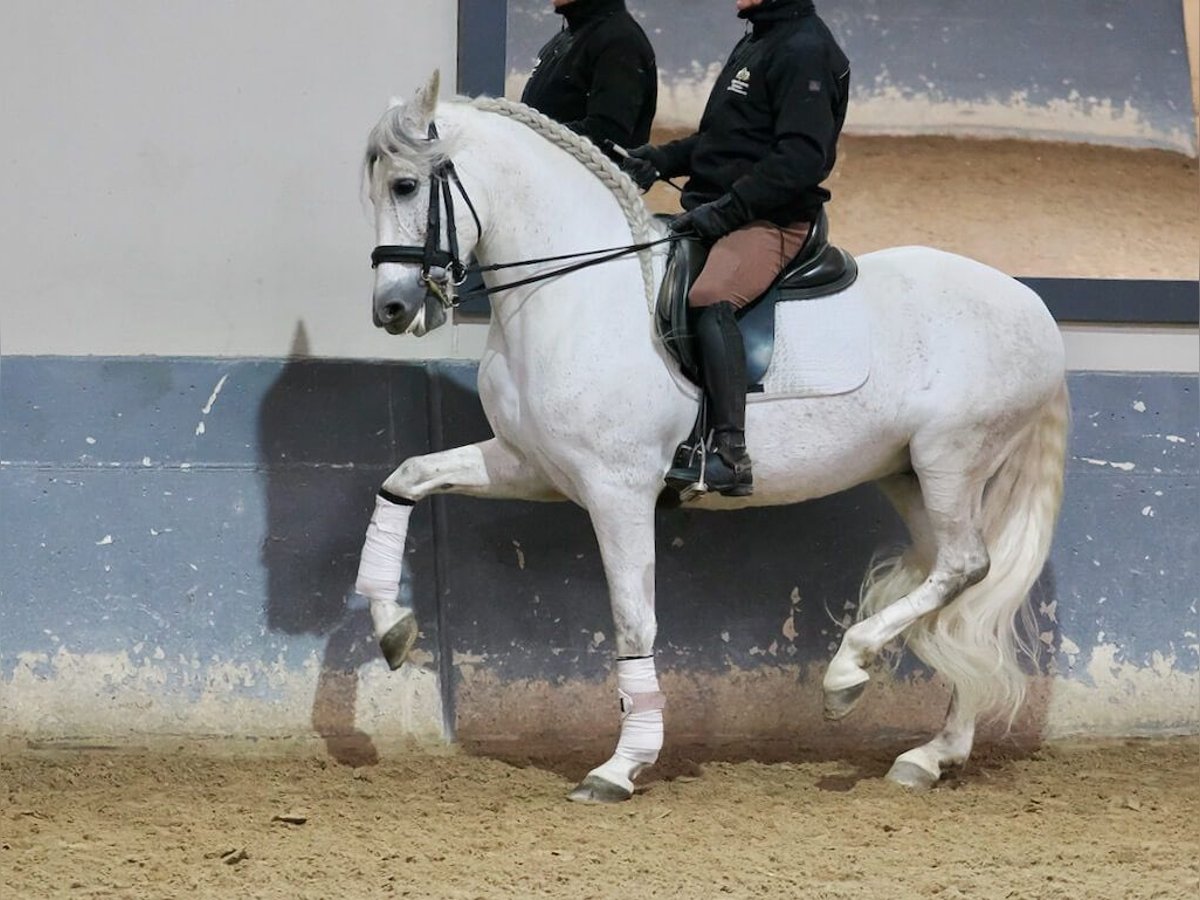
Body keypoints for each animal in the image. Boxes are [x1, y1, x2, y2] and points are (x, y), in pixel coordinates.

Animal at [352, 72, 1070, 801]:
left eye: (405, 186)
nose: (392, 310)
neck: (579, 292)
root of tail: (1034, 307)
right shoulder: (532, 466)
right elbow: (406, 477)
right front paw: (392, 627)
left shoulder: (618, 491)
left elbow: (632, 618)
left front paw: (622, 764)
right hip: (909, 477)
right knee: (960, 587)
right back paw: (930, 754)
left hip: (951, 460)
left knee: (964, 566)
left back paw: (848, 674)